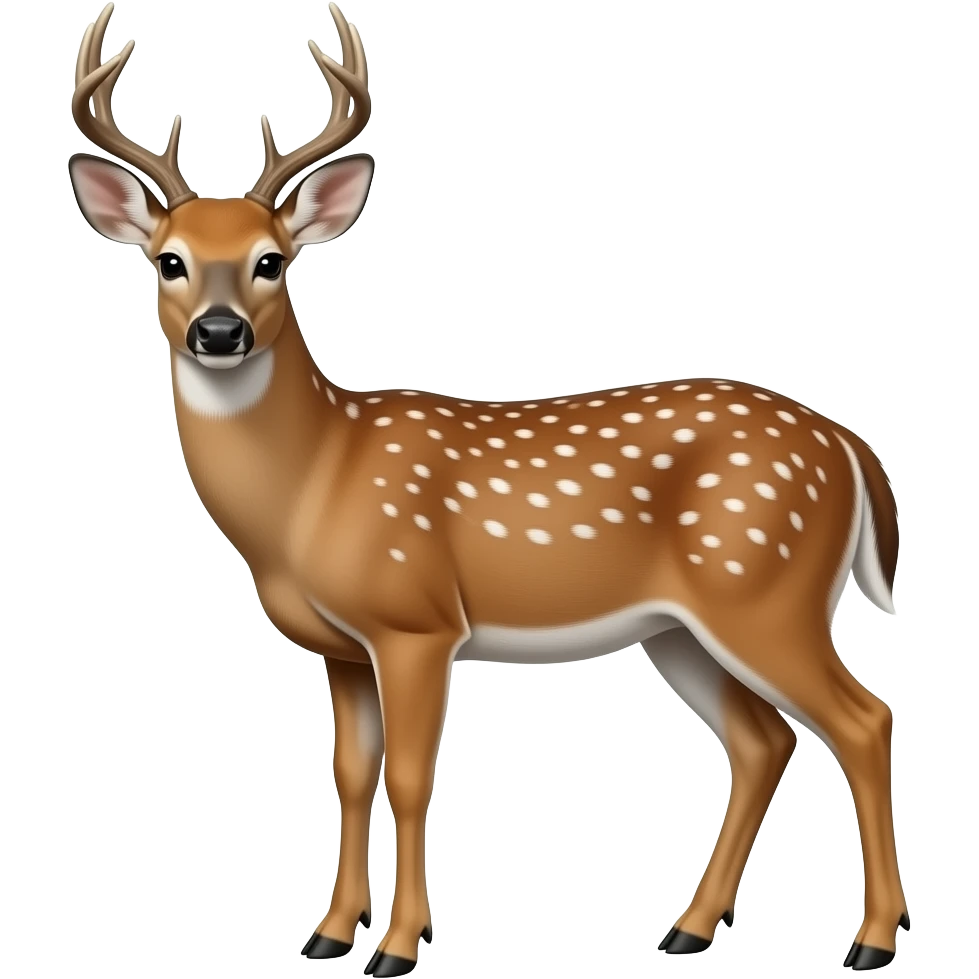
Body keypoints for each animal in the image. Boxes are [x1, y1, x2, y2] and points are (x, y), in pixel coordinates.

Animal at [68, 4, 909, 975]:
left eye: (273, 261)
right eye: (167, 261)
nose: (217, 331)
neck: (315, 484)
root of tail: (846, 443)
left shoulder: (417, 620)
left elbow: (408, 777)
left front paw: (396, 945)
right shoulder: (341, 646)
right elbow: (349, 776)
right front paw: (327, 932)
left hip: (767, 588)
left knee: (862, 719)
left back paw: (870, 940)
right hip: (682, 628)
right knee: (763, 739)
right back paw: (688, 928)